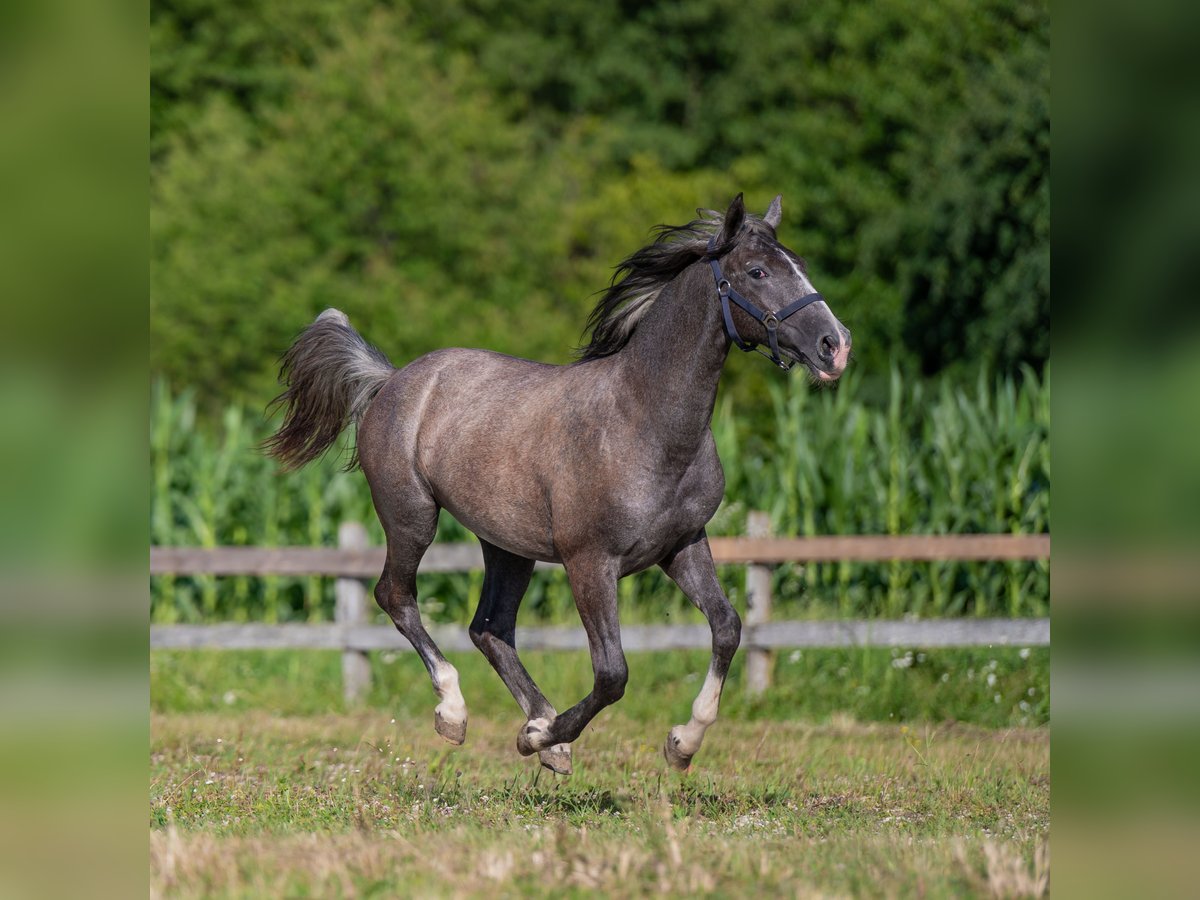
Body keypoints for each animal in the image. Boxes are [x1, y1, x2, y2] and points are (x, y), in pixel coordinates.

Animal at [270, 192, 854, 777]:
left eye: (799, 263)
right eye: (757, 271)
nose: (836, 346)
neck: (644, 422)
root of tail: (392, 380)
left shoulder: (683, 545)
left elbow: (728, 627)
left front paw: (679, 744)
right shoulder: (589, 561)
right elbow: (613, 673)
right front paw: (541, 737)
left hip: (507, 545)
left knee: (489, 628)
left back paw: (542, 730)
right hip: (412, 517)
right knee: (397, 596)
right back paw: (459, 716)